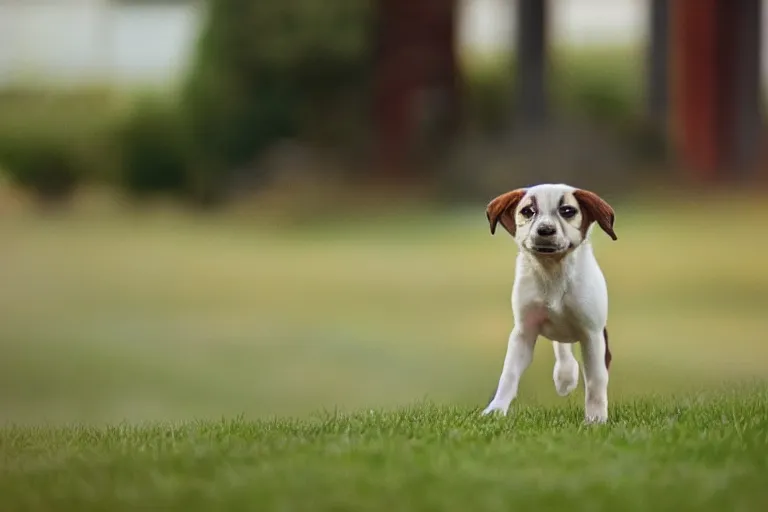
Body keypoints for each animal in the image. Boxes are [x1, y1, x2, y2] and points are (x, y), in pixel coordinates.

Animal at [480, 184, 616, 424]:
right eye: (527, 211)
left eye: (568, 211)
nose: (545, 230)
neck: (552, 271)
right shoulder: (523, 332)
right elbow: (509, 373)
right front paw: (495, 410)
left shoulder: (593, 334)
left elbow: (596, 380)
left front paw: (595, 419)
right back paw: (565, 376)